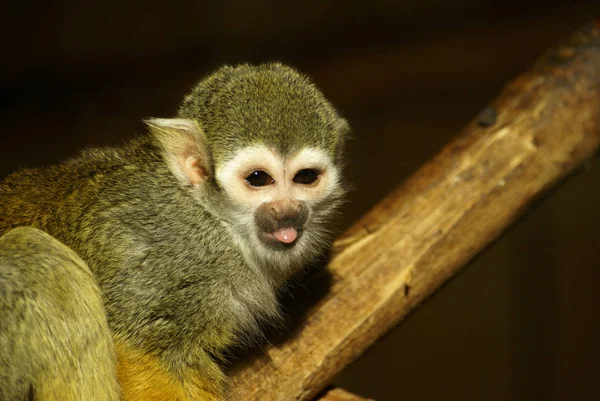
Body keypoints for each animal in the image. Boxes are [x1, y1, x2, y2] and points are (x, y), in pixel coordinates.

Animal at [0, 63, 346, 400]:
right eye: (259, 178)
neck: (218, 220)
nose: (288, 211)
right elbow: (141, 346)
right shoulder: (176, 251)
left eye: (305, 177)